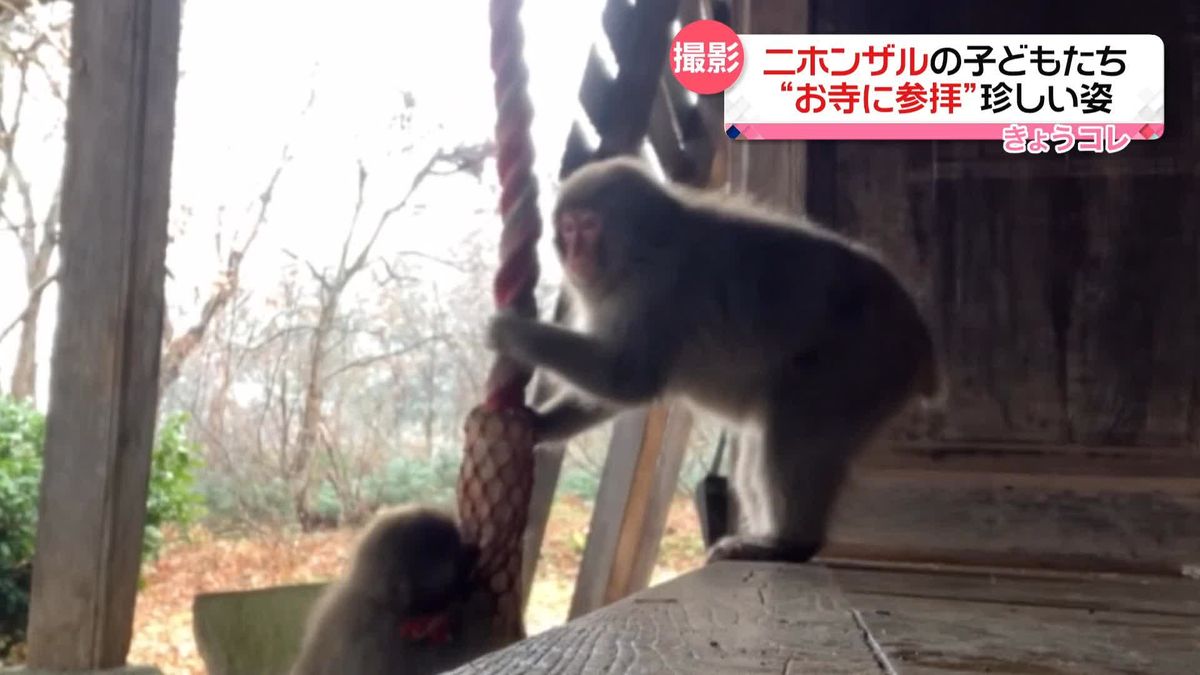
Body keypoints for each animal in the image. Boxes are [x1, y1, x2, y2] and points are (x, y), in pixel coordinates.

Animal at [292, 504, 499, 672]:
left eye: (459, 538)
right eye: (453, 556)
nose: (474, 548)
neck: (383, 601)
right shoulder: (381, 635)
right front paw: (477, 607)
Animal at [484, 154, 936, 559]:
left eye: (589, 226)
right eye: (569, 227)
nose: (576, 252)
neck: (646, 246)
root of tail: (918, 335)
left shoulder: (656, 289)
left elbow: (630, 378)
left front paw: (511, 333)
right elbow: (618, 388)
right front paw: (539, 425)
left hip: (860, 362)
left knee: (795, 428)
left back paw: (789, 544)